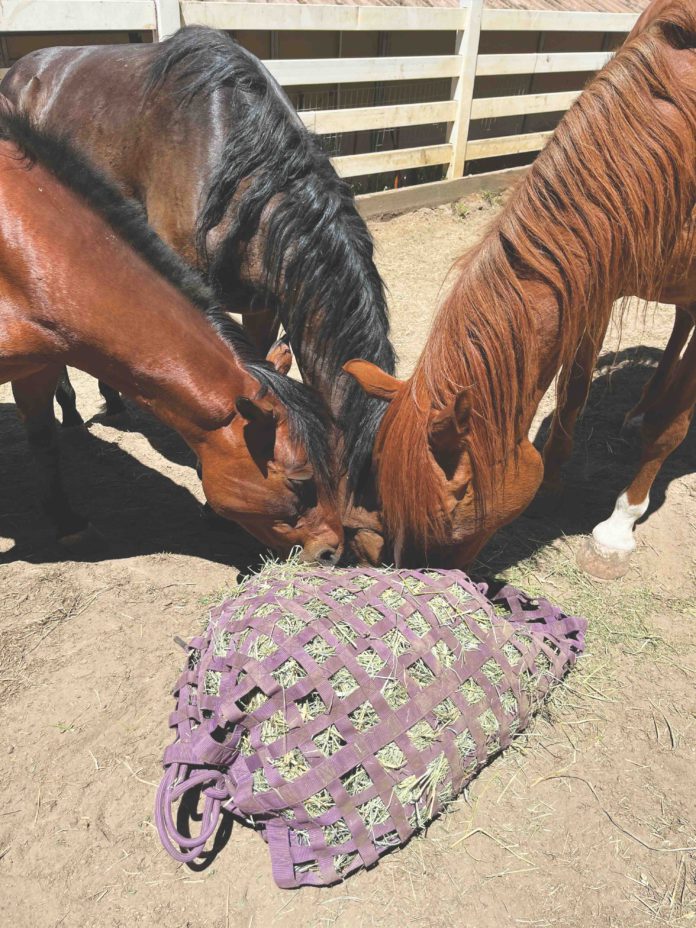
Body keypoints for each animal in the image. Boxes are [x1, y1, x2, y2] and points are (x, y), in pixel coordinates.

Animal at [348, 0, 696, 580]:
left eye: (451, 517)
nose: (419, 571)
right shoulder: (595, 273)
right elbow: (573, 389)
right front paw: (552, 483)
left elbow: (671, 430)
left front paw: (617, 529)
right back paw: (641, 408)